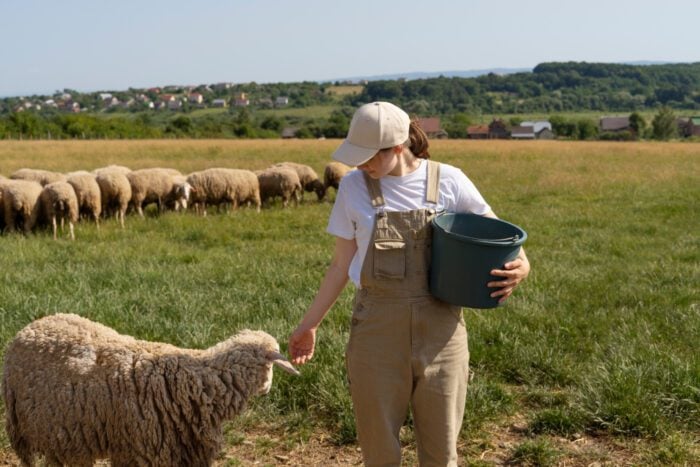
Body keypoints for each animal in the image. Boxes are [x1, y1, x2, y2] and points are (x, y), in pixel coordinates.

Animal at [3, 312, 298, 467]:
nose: (268, 390)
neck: (198, 381)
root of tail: (30, 327)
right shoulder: (141, 448)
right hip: (30, 426)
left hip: (62, 429)